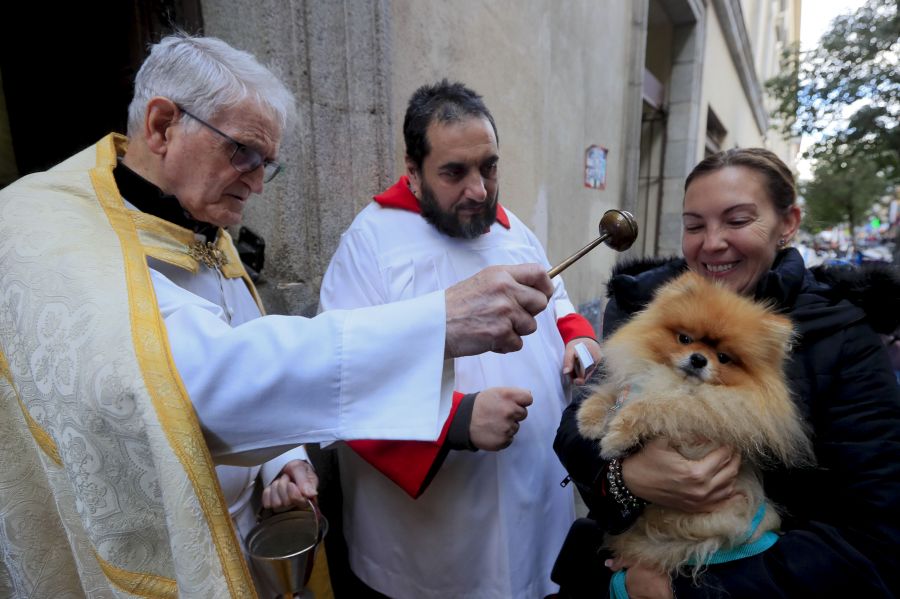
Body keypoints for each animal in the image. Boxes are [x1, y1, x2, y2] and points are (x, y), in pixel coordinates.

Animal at [576, 272, 816, 576]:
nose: (699, 358)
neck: (677, 382)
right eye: (685, 339)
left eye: (724, 358)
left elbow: (655, 407)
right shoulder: (636, 381)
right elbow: (611, 393)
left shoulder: (704, 413)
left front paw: (616, 438)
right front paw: (590, 420)